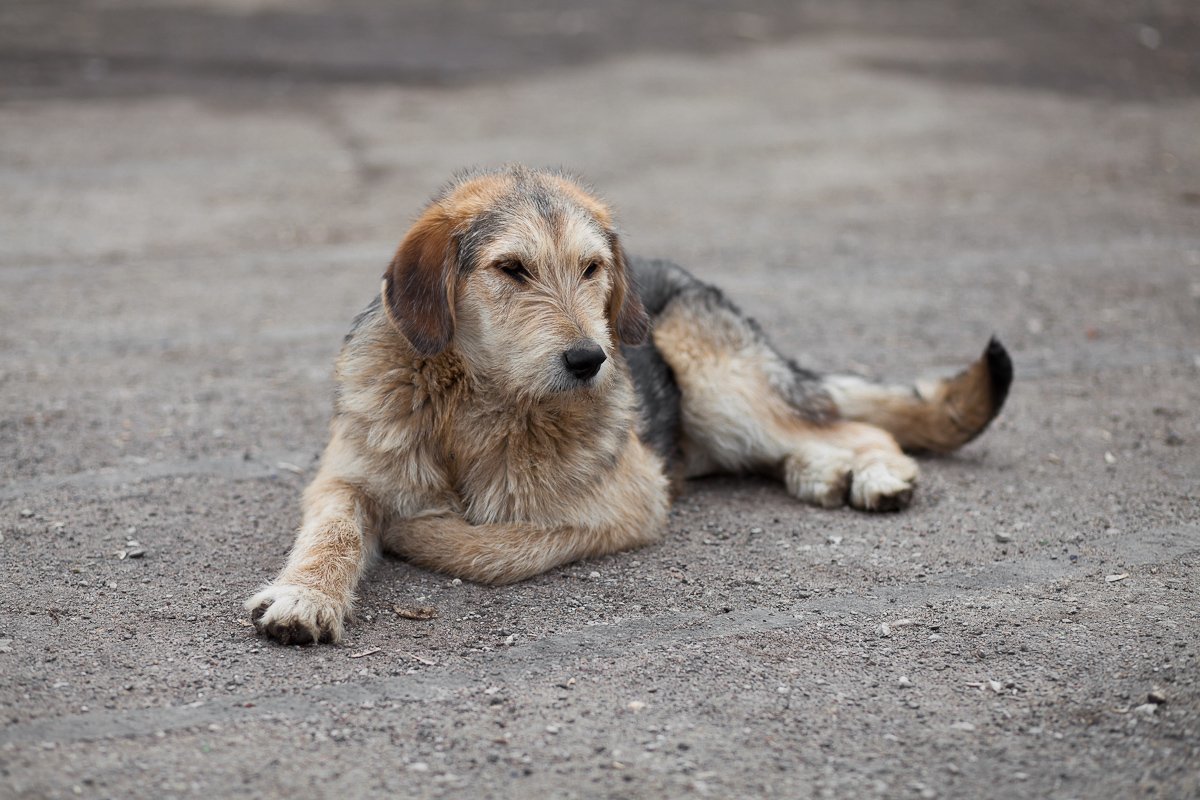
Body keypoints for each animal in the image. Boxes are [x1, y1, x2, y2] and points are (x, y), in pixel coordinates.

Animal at [246, 164, 1012, 642]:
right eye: (510, 269)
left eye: (592, 269)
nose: (591, 360)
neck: (476, 403)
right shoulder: (345, 474)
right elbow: (334, 530)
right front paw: (306, 595)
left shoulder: (632, 499)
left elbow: (496, 546)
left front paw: (419, 533)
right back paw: (820, 474)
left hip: (722, 385)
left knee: (850, 425)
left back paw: (873, 472)